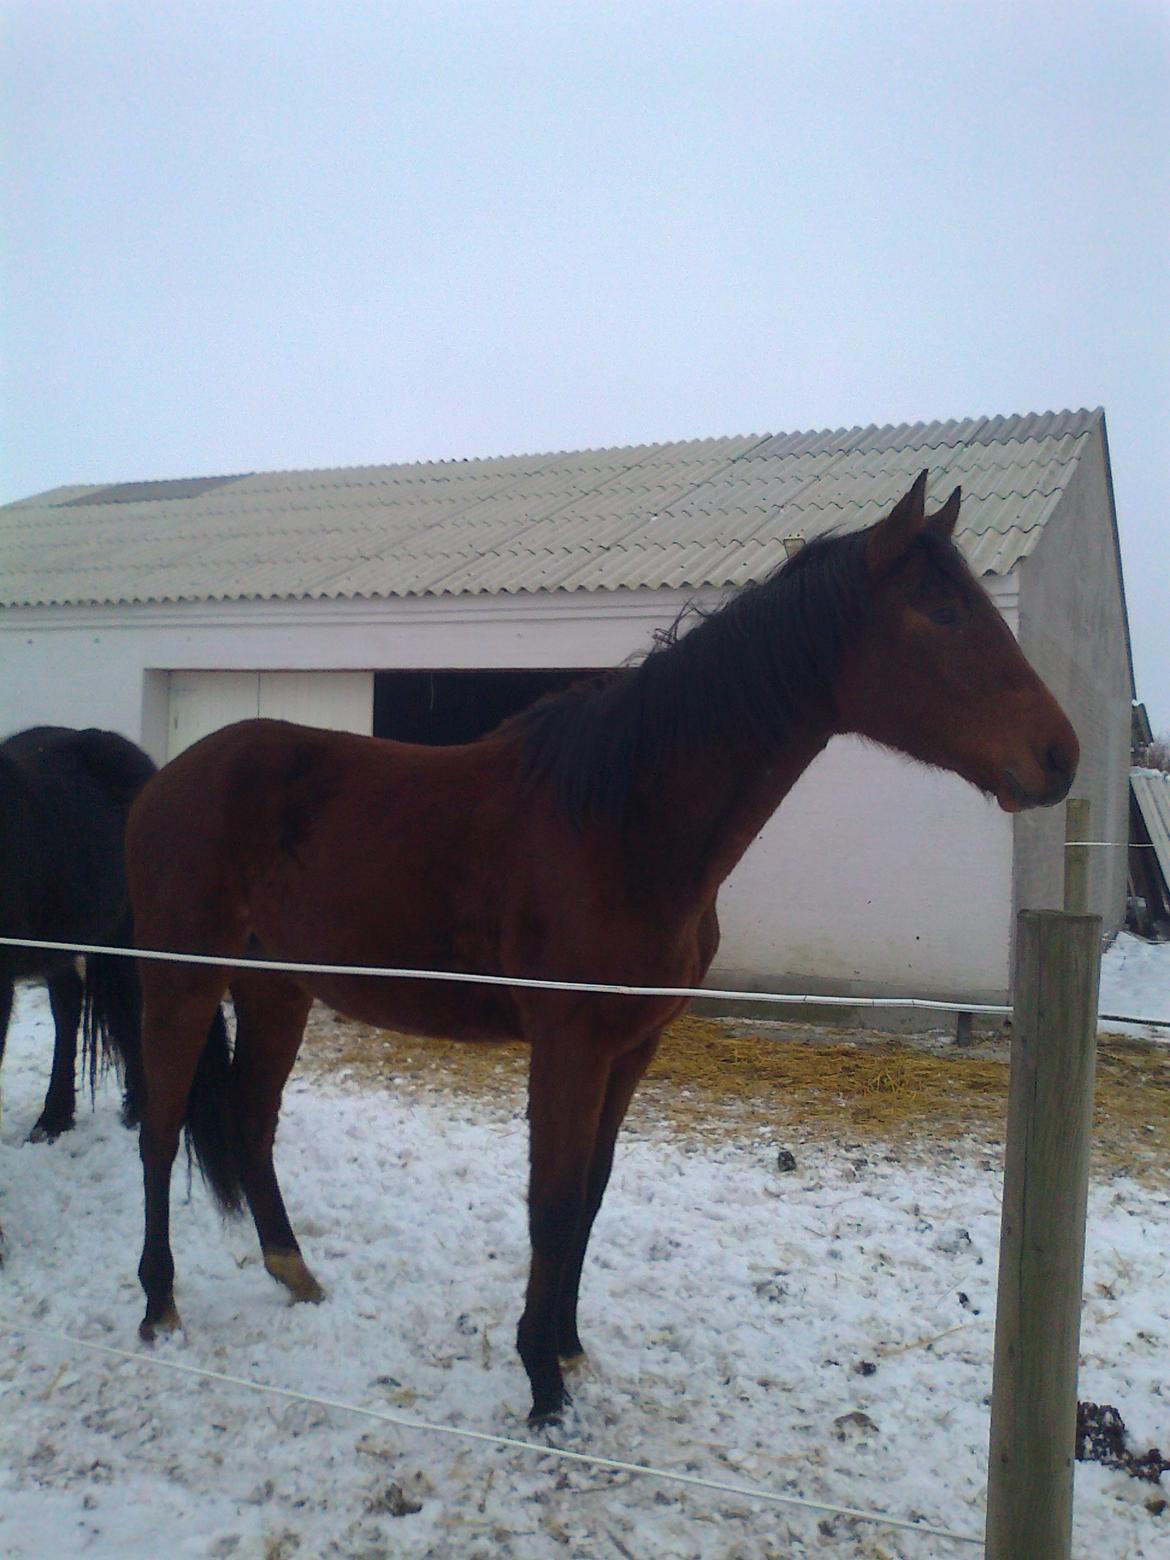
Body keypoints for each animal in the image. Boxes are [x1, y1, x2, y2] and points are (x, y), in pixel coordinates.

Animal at [126, 474, 1079, 1428]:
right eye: (942, 612)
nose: (1061, 756)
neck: (624, 822)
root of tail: (167, 780)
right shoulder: (569, 1046)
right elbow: (550, 1203)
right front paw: (542, 1387)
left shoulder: (633, 1047)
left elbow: (590, 1192)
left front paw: (568, 1344)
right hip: (181, 983)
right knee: (163, 1127)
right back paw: (158, 1304)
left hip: (278, 989)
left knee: (251, 1121)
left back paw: (295, 1273)